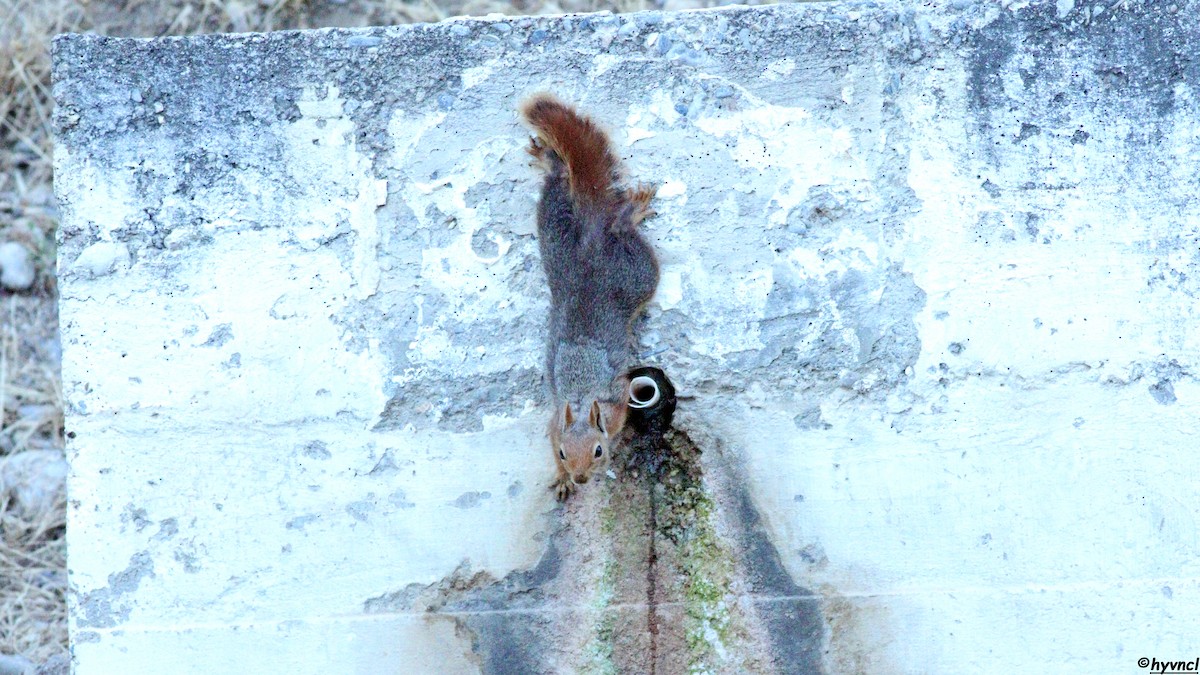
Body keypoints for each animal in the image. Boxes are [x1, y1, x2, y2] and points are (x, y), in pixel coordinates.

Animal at [520, 94, 660, 502]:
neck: (582, 401)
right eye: (565, 453)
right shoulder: (556, 424)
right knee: (559, 183)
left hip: (637, 273)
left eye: (598, 451)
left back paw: (631, 211)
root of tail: (590, 243)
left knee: (620, 227)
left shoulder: (616, 404)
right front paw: (562, 479)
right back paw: (549, 160)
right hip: (553, 229)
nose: (582, 478)